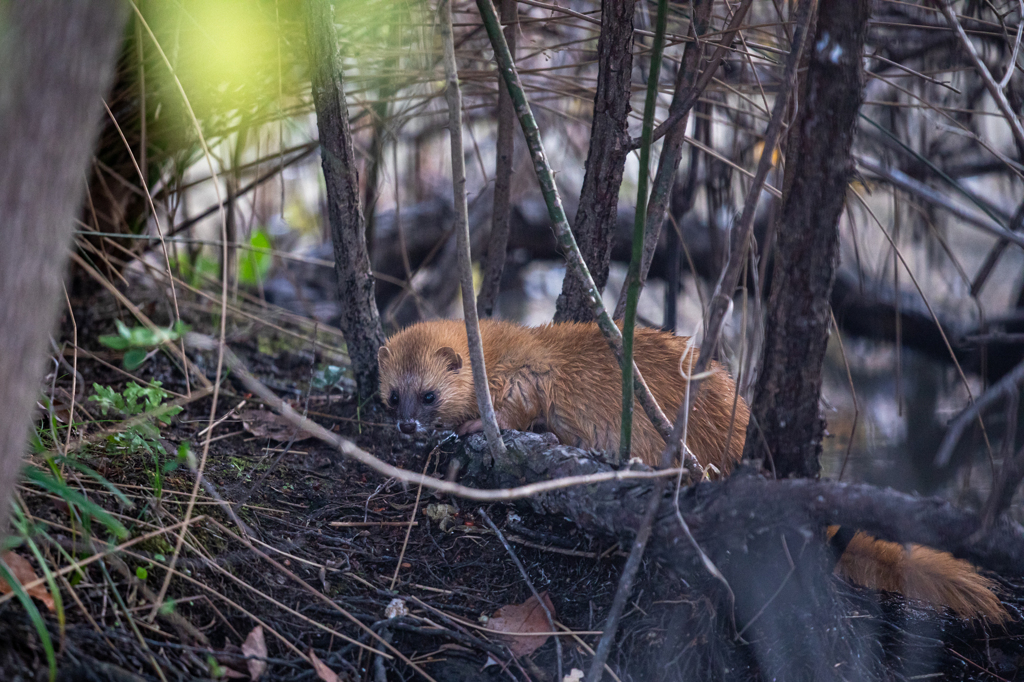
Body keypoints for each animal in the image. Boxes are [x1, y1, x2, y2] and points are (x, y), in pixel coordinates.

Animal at [380, 315, 1003, 618]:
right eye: (392, 395)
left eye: (428, 395)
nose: (406, 425)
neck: (500, 348)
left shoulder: (529, 374)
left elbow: (518, 410)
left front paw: (477, 428)